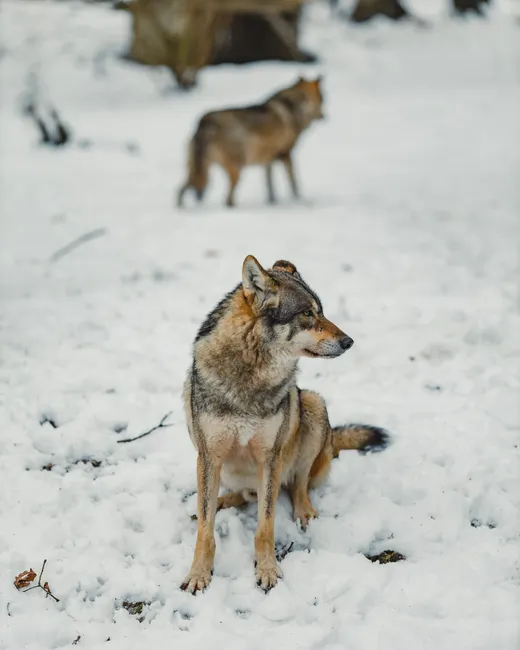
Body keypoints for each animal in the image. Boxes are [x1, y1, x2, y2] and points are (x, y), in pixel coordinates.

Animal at [176, 76, 325, 208]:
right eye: (323, 99)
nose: (324, 116)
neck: (295, 108)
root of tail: (204, 121)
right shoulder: (285, 154)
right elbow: (293, 183)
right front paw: (298, 200)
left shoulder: (268, 160)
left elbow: (270, 186)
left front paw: (272, 203)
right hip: (236, 170)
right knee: (227, 200)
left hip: (197, 172)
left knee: (180, 190)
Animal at [180, 256, 389, 594]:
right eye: (307, 313)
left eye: (321, 311)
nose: (349, 341)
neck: (252, 373)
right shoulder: (209, 456)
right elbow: (205, 528)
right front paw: (199, 574)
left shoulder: (270, 457)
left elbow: (265, 525)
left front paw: (267, 571)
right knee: (238, 496)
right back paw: (223, 501)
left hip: (313, 407)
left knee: (298, 486)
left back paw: (305, 513)